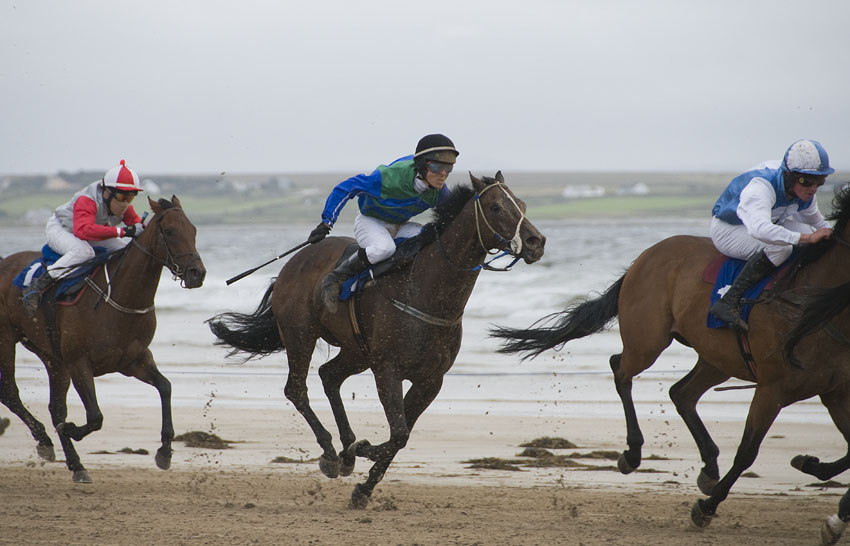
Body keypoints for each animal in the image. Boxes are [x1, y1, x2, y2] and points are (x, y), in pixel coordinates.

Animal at [0, 196, 205, 480]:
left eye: (193, 230)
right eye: (170, 231)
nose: (197, 273)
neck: (119, 299)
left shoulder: (133, 360)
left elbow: (165, 387)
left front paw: (164, 451)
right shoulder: (79, 363)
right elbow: (95, 416)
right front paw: (71, 429)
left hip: (52, 356)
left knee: (55, 407)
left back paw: (74, 463)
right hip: (7, 338)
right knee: (10, 391)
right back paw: (47, 442)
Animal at [209, 173, 548, 506]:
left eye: (521, 204)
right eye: (496, 207)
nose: (536, 242)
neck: (425, 291)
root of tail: (294, 261)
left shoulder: (430, 380)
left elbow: (402, 435)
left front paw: (363, 486)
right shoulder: (388, 370)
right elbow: (398, 433)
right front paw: (360, 451)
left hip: (357, 350)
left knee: (329, 375)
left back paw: (345, 450)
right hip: (300, 333)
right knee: (296, 389)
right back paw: (331, 453)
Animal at [490, 185, 850, 532]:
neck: (814, 306)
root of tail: (645, 256)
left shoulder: (834, 392)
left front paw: (817, 478)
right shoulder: (772, 389)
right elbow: (747, 453)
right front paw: (706, 509)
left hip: (717, 358)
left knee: (681, 393)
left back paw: (709, 467)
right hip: (648, 341)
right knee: (620, 368)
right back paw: (633, 453)